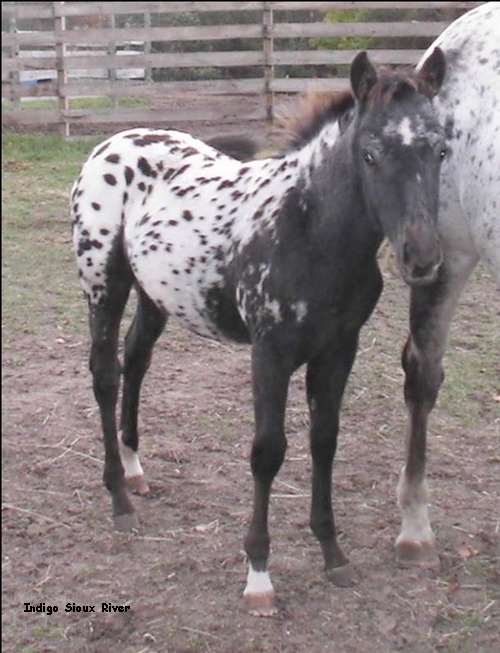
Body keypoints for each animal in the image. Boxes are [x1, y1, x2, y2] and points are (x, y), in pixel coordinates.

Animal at [69, 49, 446, 612]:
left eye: (441, 150)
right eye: (371, 154)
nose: (422, 259)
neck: (307, 229)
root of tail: (112, 143)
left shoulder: (339, 349)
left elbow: (324, 441)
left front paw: (333, 553)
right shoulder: (270, 352)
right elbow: (267, 452)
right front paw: (259, 574)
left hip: (155, 294)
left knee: (136, 361)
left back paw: (135, 470)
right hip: (103, 285)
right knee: (105, 375)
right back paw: (117, 496)